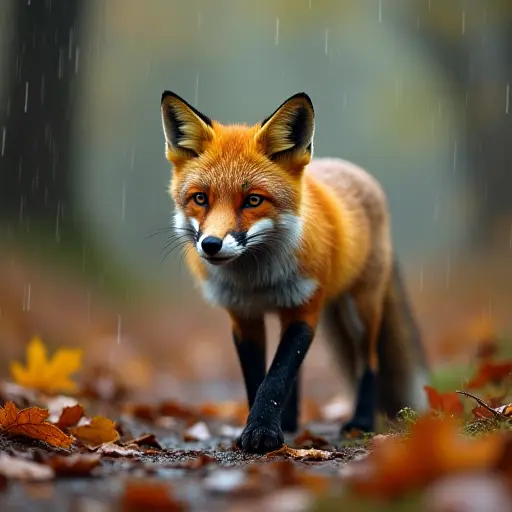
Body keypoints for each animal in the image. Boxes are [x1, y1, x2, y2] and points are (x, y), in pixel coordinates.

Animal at [159, 90, 428, 454]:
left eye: (253, 200)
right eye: (200, 199)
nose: (211, 244)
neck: (258, 281)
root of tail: (351, 169)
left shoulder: (304, 309)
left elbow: (276, 379)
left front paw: (262, 433)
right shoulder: (244, 316)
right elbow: (260, 378)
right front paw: (261, 428)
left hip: (360, 309)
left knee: (369, 361)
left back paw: (360, 422)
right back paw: (289, 422)